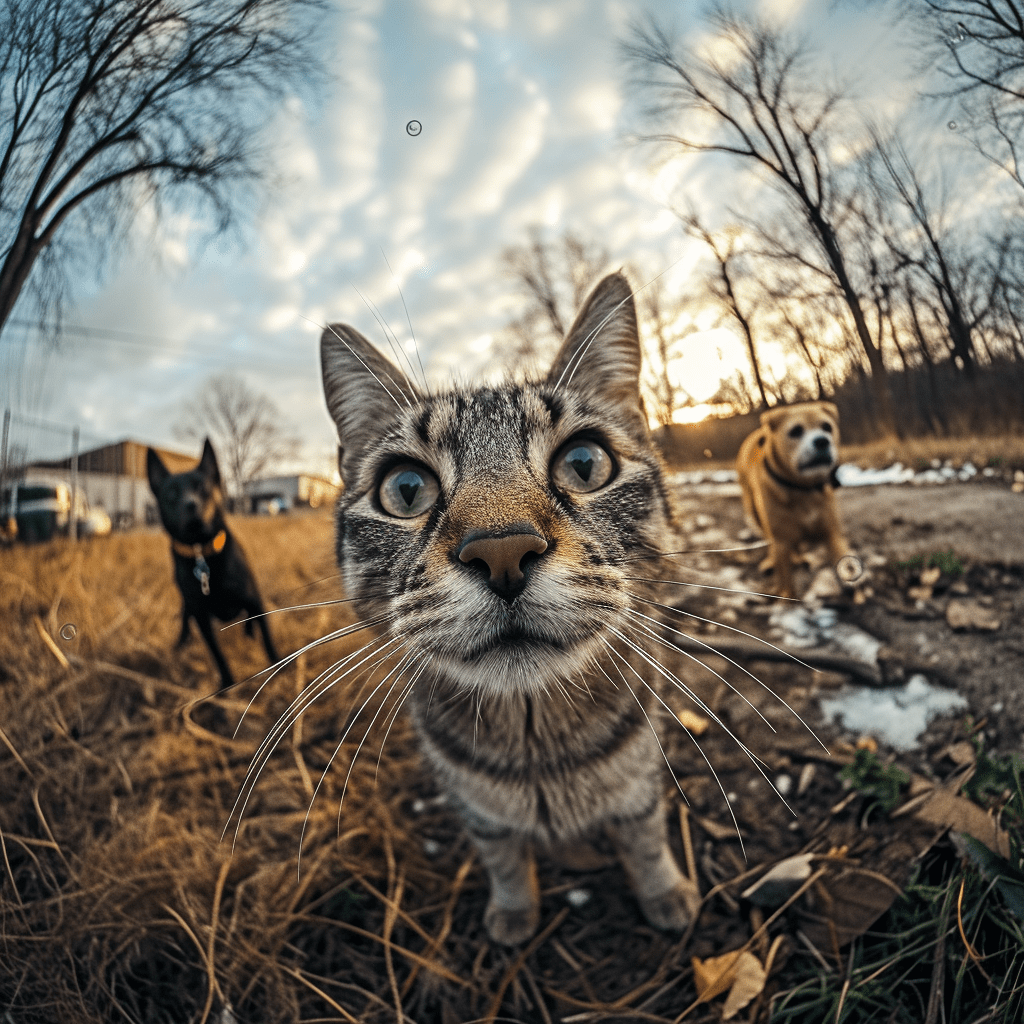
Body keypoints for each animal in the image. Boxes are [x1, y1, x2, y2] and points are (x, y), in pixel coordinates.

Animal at [146, 440, 278, 688]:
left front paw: (279, 667)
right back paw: (181, 643)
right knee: (185, 617)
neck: (202, 554)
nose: (191, 505)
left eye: (202, 487)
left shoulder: (254, 599)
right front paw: (227, 685)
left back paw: (248, 632)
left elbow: (267, 637)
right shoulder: (200, 615)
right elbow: (216, 652)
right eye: (171, 493)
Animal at [321, 272, 704, 942]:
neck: (537, 750)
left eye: (584, 463)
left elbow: (644, 833)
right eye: (405, 490)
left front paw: (664, 892)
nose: (502, 550)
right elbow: (500, 852)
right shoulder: (478, 808)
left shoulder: (638, 778)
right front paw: (513, 909)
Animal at [737, 401, 847, 598]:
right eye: (796, 431)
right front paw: (787, 601)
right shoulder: (781, 541)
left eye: (827, 427)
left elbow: (841, 560)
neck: (802, 489)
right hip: (754, 512)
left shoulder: (832, 533)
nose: (822, 441)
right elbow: (786, 582)